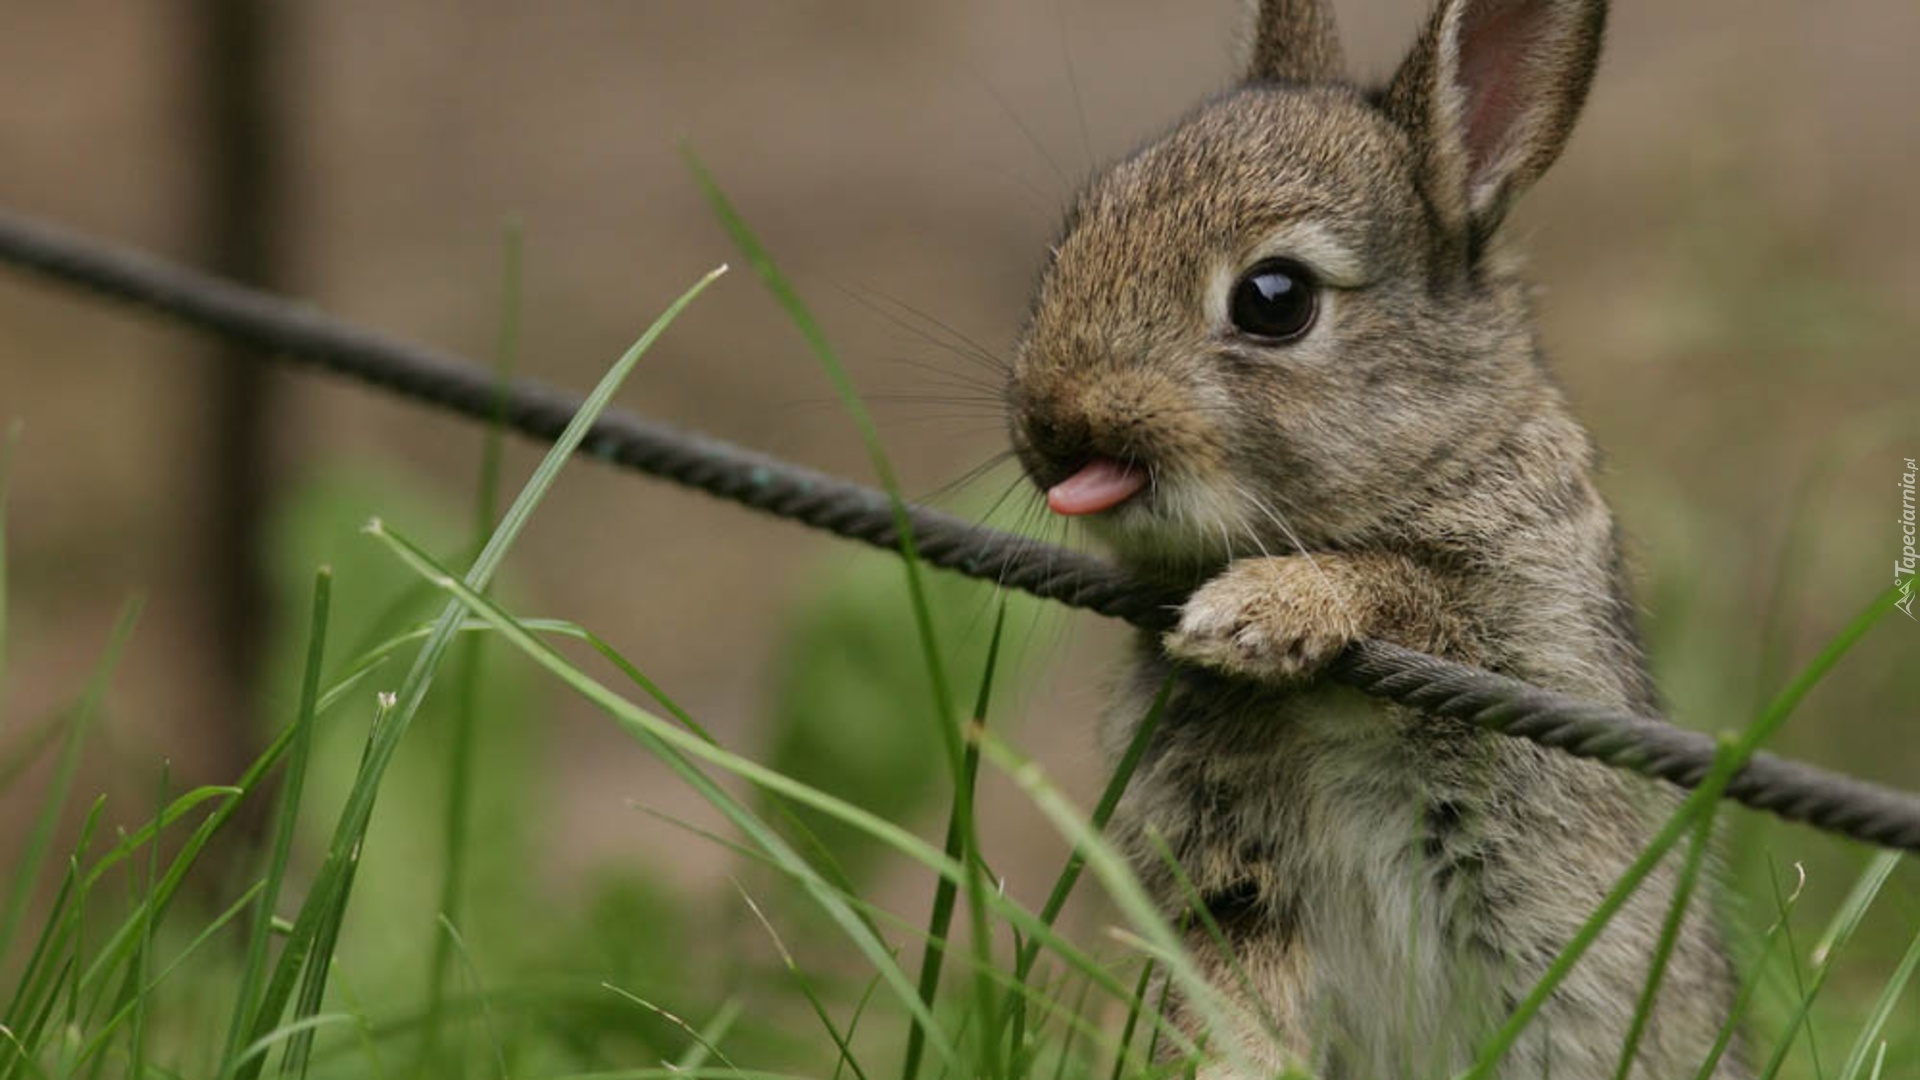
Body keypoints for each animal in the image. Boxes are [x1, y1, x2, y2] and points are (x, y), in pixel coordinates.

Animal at [1013, 2, 1751, 1076]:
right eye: (1077, 229)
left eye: (1274, 298)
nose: (1049, 421)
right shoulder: (1238, 889)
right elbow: (1236, 1003)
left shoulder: (1521, 629)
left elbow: (1406, 591)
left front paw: (1256, 613)